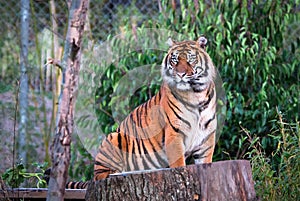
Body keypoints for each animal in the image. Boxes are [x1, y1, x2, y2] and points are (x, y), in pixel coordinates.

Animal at [65, 36, 217, 188]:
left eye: (191, 59)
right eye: (175, 60)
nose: (180, 74)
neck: (196, 94)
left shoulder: (206, 138)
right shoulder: (174, 133)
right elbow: (179, 164)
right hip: (113, 137)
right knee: (101, 176)